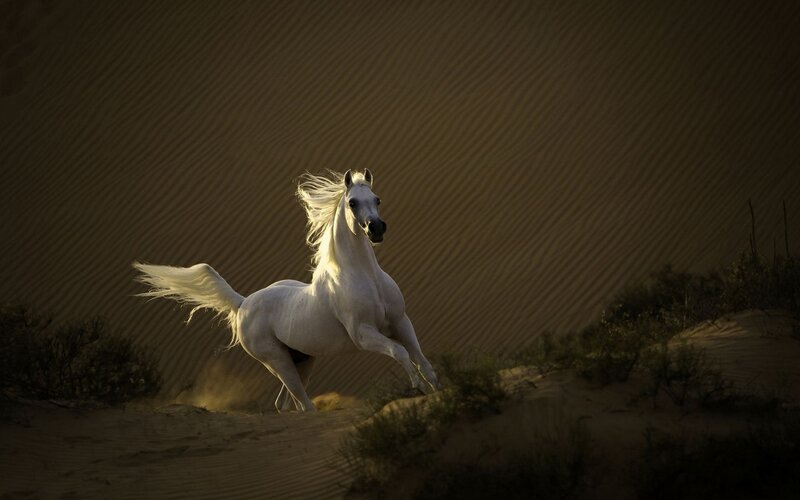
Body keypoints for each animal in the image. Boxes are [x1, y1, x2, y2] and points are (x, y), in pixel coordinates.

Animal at [133, 169, 439, 411]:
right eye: (353, 202)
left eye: (377, 199)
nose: (377, 229)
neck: (365, 277)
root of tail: (243, 304)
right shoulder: (363, 334)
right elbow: (400, 352)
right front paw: (416, 388)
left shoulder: (401, 322)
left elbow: (423, 361)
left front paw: (436, 392)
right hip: (278, 362)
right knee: (303, 404)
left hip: (302, 359)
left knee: (284, 403)